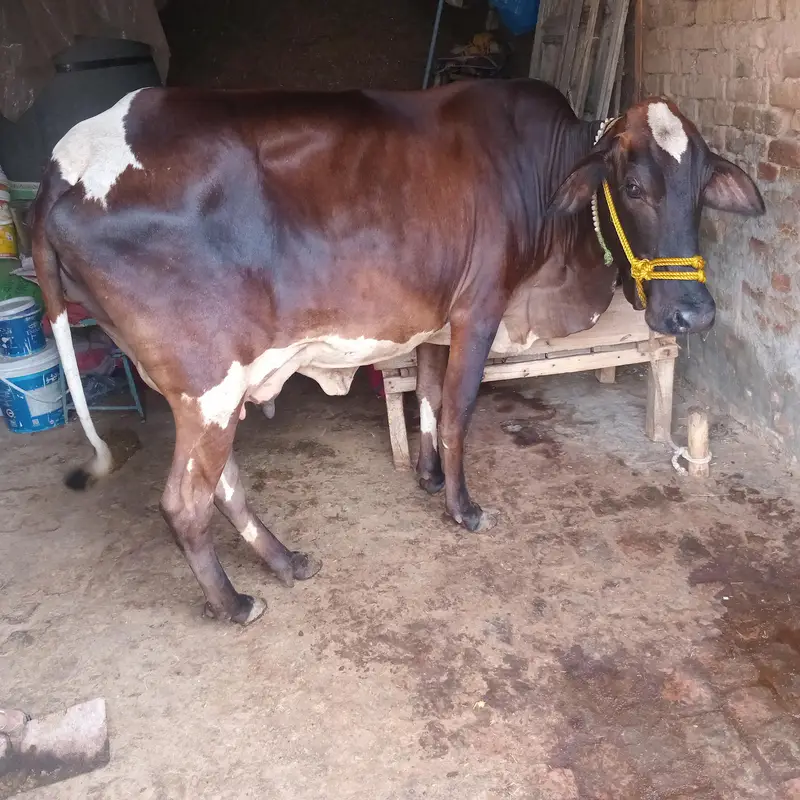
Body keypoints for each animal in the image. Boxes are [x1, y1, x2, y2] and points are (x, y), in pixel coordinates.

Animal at [31, 79, 764, 625]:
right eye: (634, 187)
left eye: (701, 188)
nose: (693, 313)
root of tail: (65, 164)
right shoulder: (478, 309)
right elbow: (462, 409)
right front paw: (463, 508)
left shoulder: (437, 323)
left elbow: (433, 400)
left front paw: (429, 475)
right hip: (207, 382)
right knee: (185, 501)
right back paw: (234, 603)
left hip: (206, 388)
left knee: (223, 483)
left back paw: (285, 561)